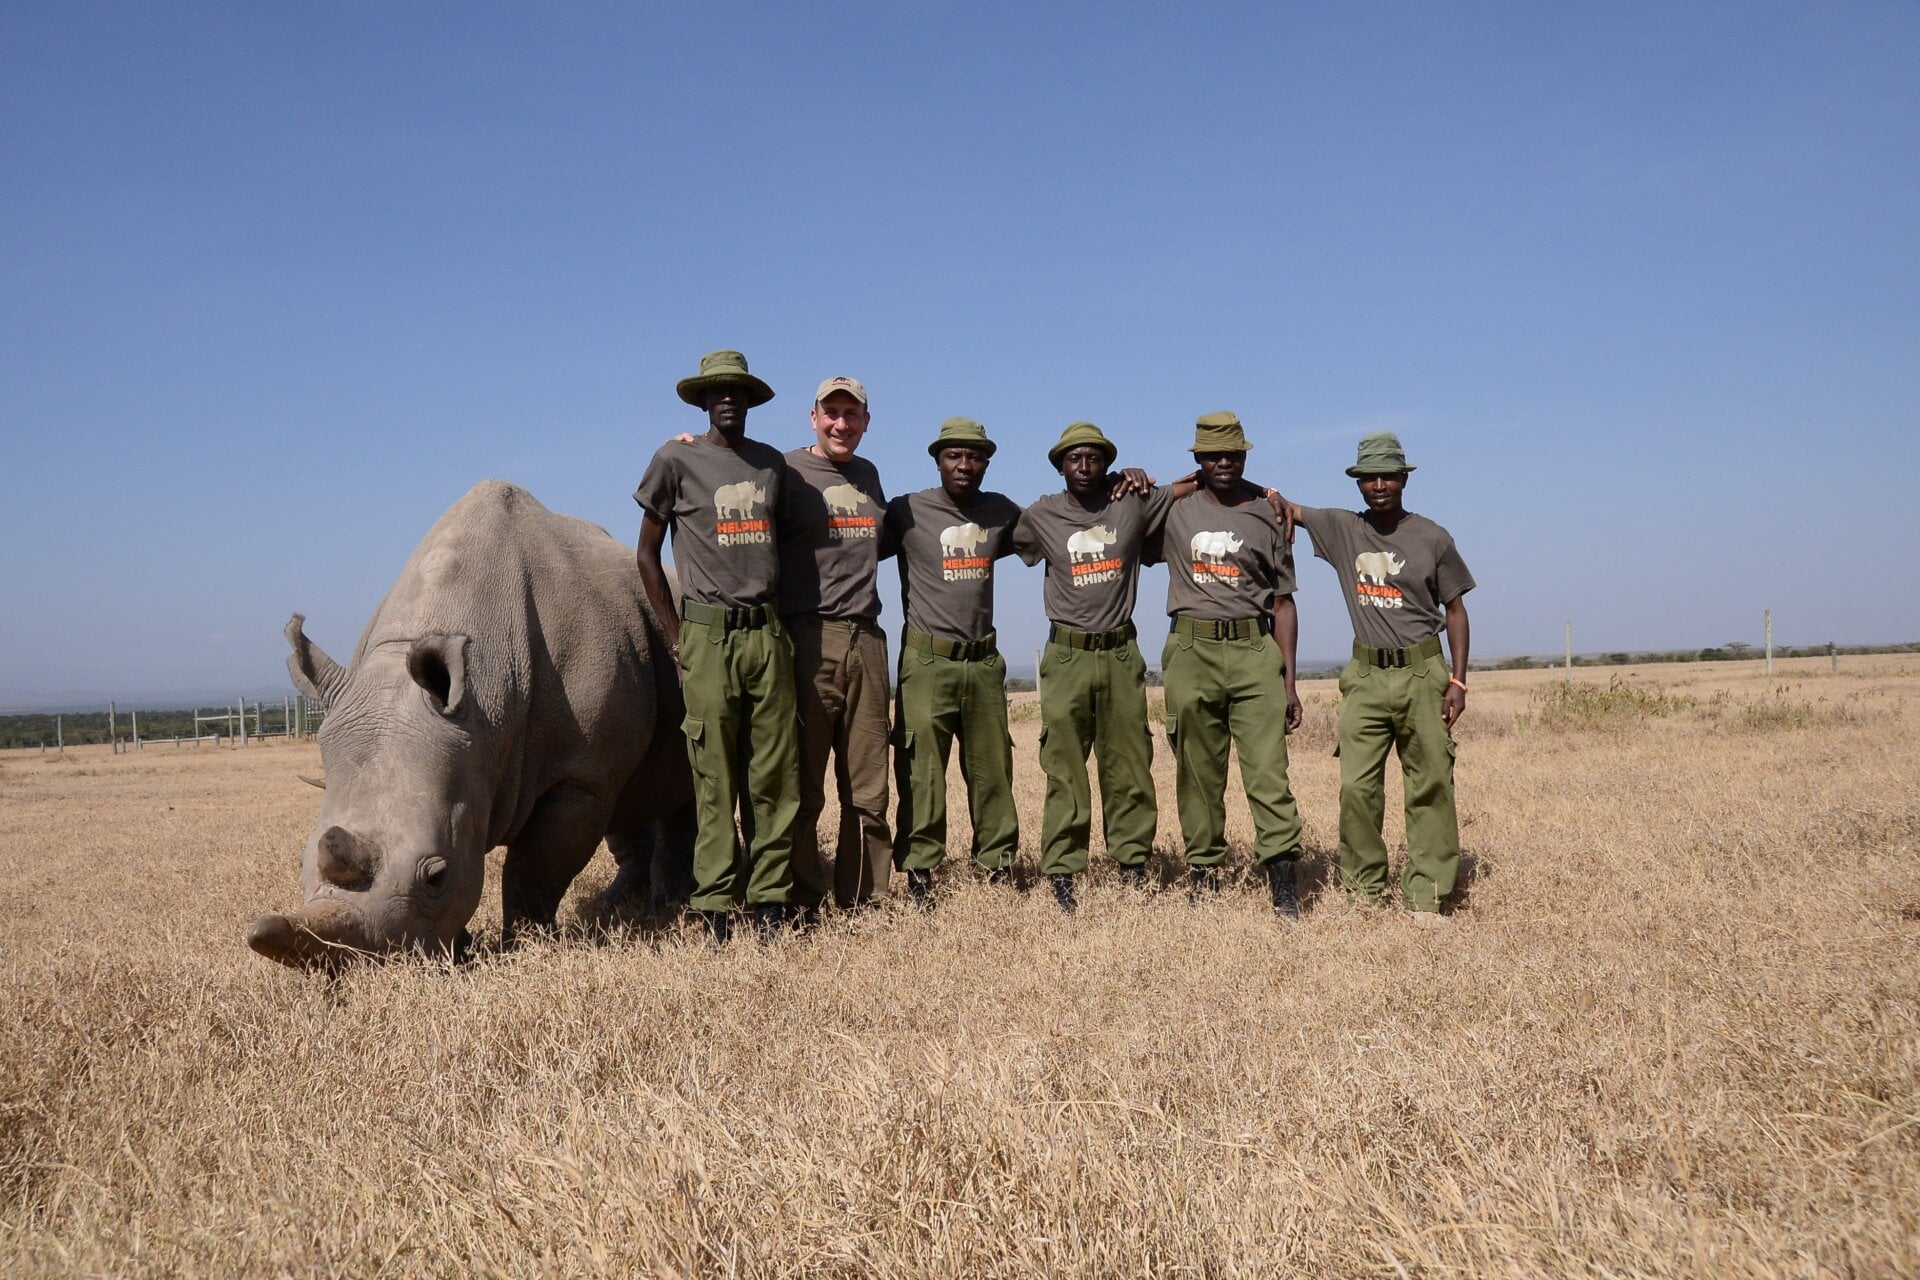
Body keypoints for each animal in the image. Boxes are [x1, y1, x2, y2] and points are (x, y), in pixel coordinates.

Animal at [248, 481, 694, 968]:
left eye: (436, 877)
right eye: (299, 862)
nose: (368, 967)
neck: (486, 710)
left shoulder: (577, 774)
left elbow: (534, 866)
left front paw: (524, 945)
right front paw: (463, 946)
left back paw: (670, 906)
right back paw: (618, 903)